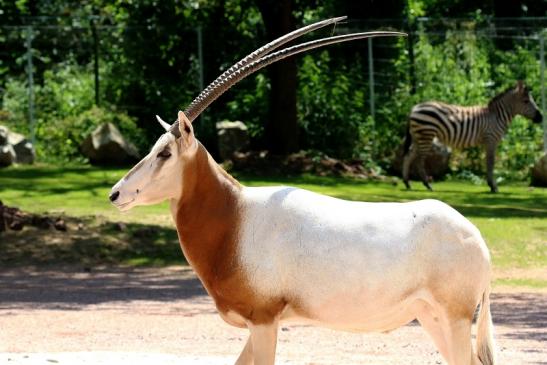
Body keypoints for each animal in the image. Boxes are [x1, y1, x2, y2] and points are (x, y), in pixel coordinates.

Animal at [402, 81, 544, 192]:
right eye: (526, 101)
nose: (541, 118)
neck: (496, 116)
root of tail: (414, 107)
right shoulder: (491, 140)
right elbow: (491, 163)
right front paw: (493, 187)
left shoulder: (488, 141)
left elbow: (488, 162)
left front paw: (491, 185)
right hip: (426, 135)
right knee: (419, 160)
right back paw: (427, 184)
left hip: (418, 136)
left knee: (408, 157)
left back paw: (407, 183)